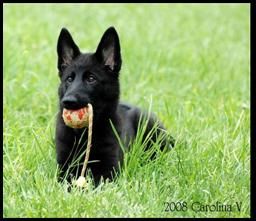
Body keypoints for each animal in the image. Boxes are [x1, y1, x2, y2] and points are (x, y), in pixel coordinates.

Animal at [55, 26, 174, 185]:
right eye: (69, 79)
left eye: (91, 79)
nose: (68, 101)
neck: (84, 134)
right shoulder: (63, 169)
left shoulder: (109, 171)